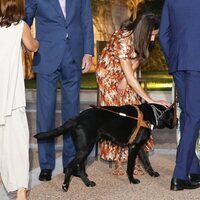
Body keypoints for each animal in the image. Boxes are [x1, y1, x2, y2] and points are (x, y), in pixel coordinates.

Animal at [35, 103, 176, 192]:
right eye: (174, 116)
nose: (178, 122)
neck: (150, 114)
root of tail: (77, 118)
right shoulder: (134, 146)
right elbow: (130, 167)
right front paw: (132, 180)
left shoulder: (139, 146)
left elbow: (147, 162)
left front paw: (152, 173)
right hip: (86, 148)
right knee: (70, 167)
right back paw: (65, 186)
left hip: (84, 149)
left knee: (80, 168)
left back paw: (88, 183)